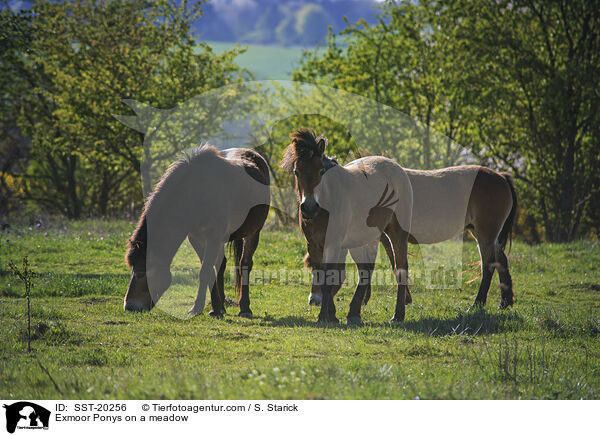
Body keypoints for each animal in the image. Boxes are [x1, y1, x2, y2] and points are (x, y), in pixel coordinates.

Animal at [124, 146, 270, 316]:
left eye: (141, 273)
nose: (129, 306)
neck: (196, 194)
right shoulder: (196, 238)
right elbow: (208, 271)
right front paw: (208, 308)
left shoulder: (213, 237)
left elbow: (205, 271)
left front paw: (212, 310)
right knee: (221, 265)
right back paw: (223, 306)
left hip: (254, 232)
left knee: (244, 264)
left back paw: (245, 308)